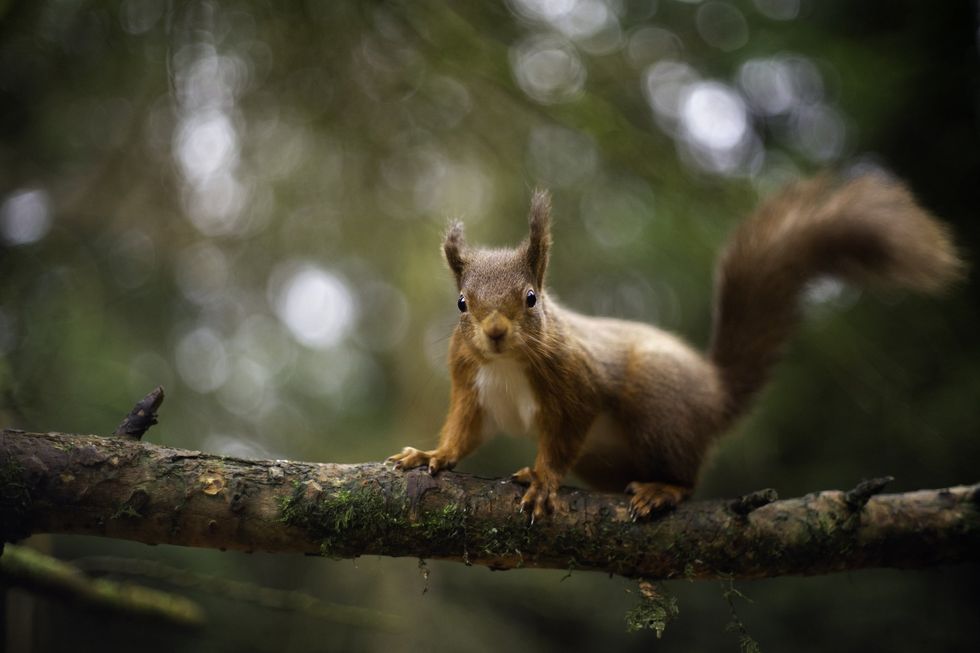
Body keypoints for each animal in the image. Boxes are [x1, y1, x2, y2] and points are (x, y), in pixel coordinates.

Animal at [387, 173, 962, 521]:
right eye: (462, 303)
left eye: (531, 297)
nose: (495, 332)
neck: (507, 363)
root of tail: (716, 395)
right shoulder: (471, 384)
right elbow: (465, 431)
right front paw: (432, 454)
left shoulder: (578, 383)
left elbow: (566, 433)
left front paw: (546, 478)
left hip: (657, 403)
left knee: (687, 477)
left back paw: (663, 490)